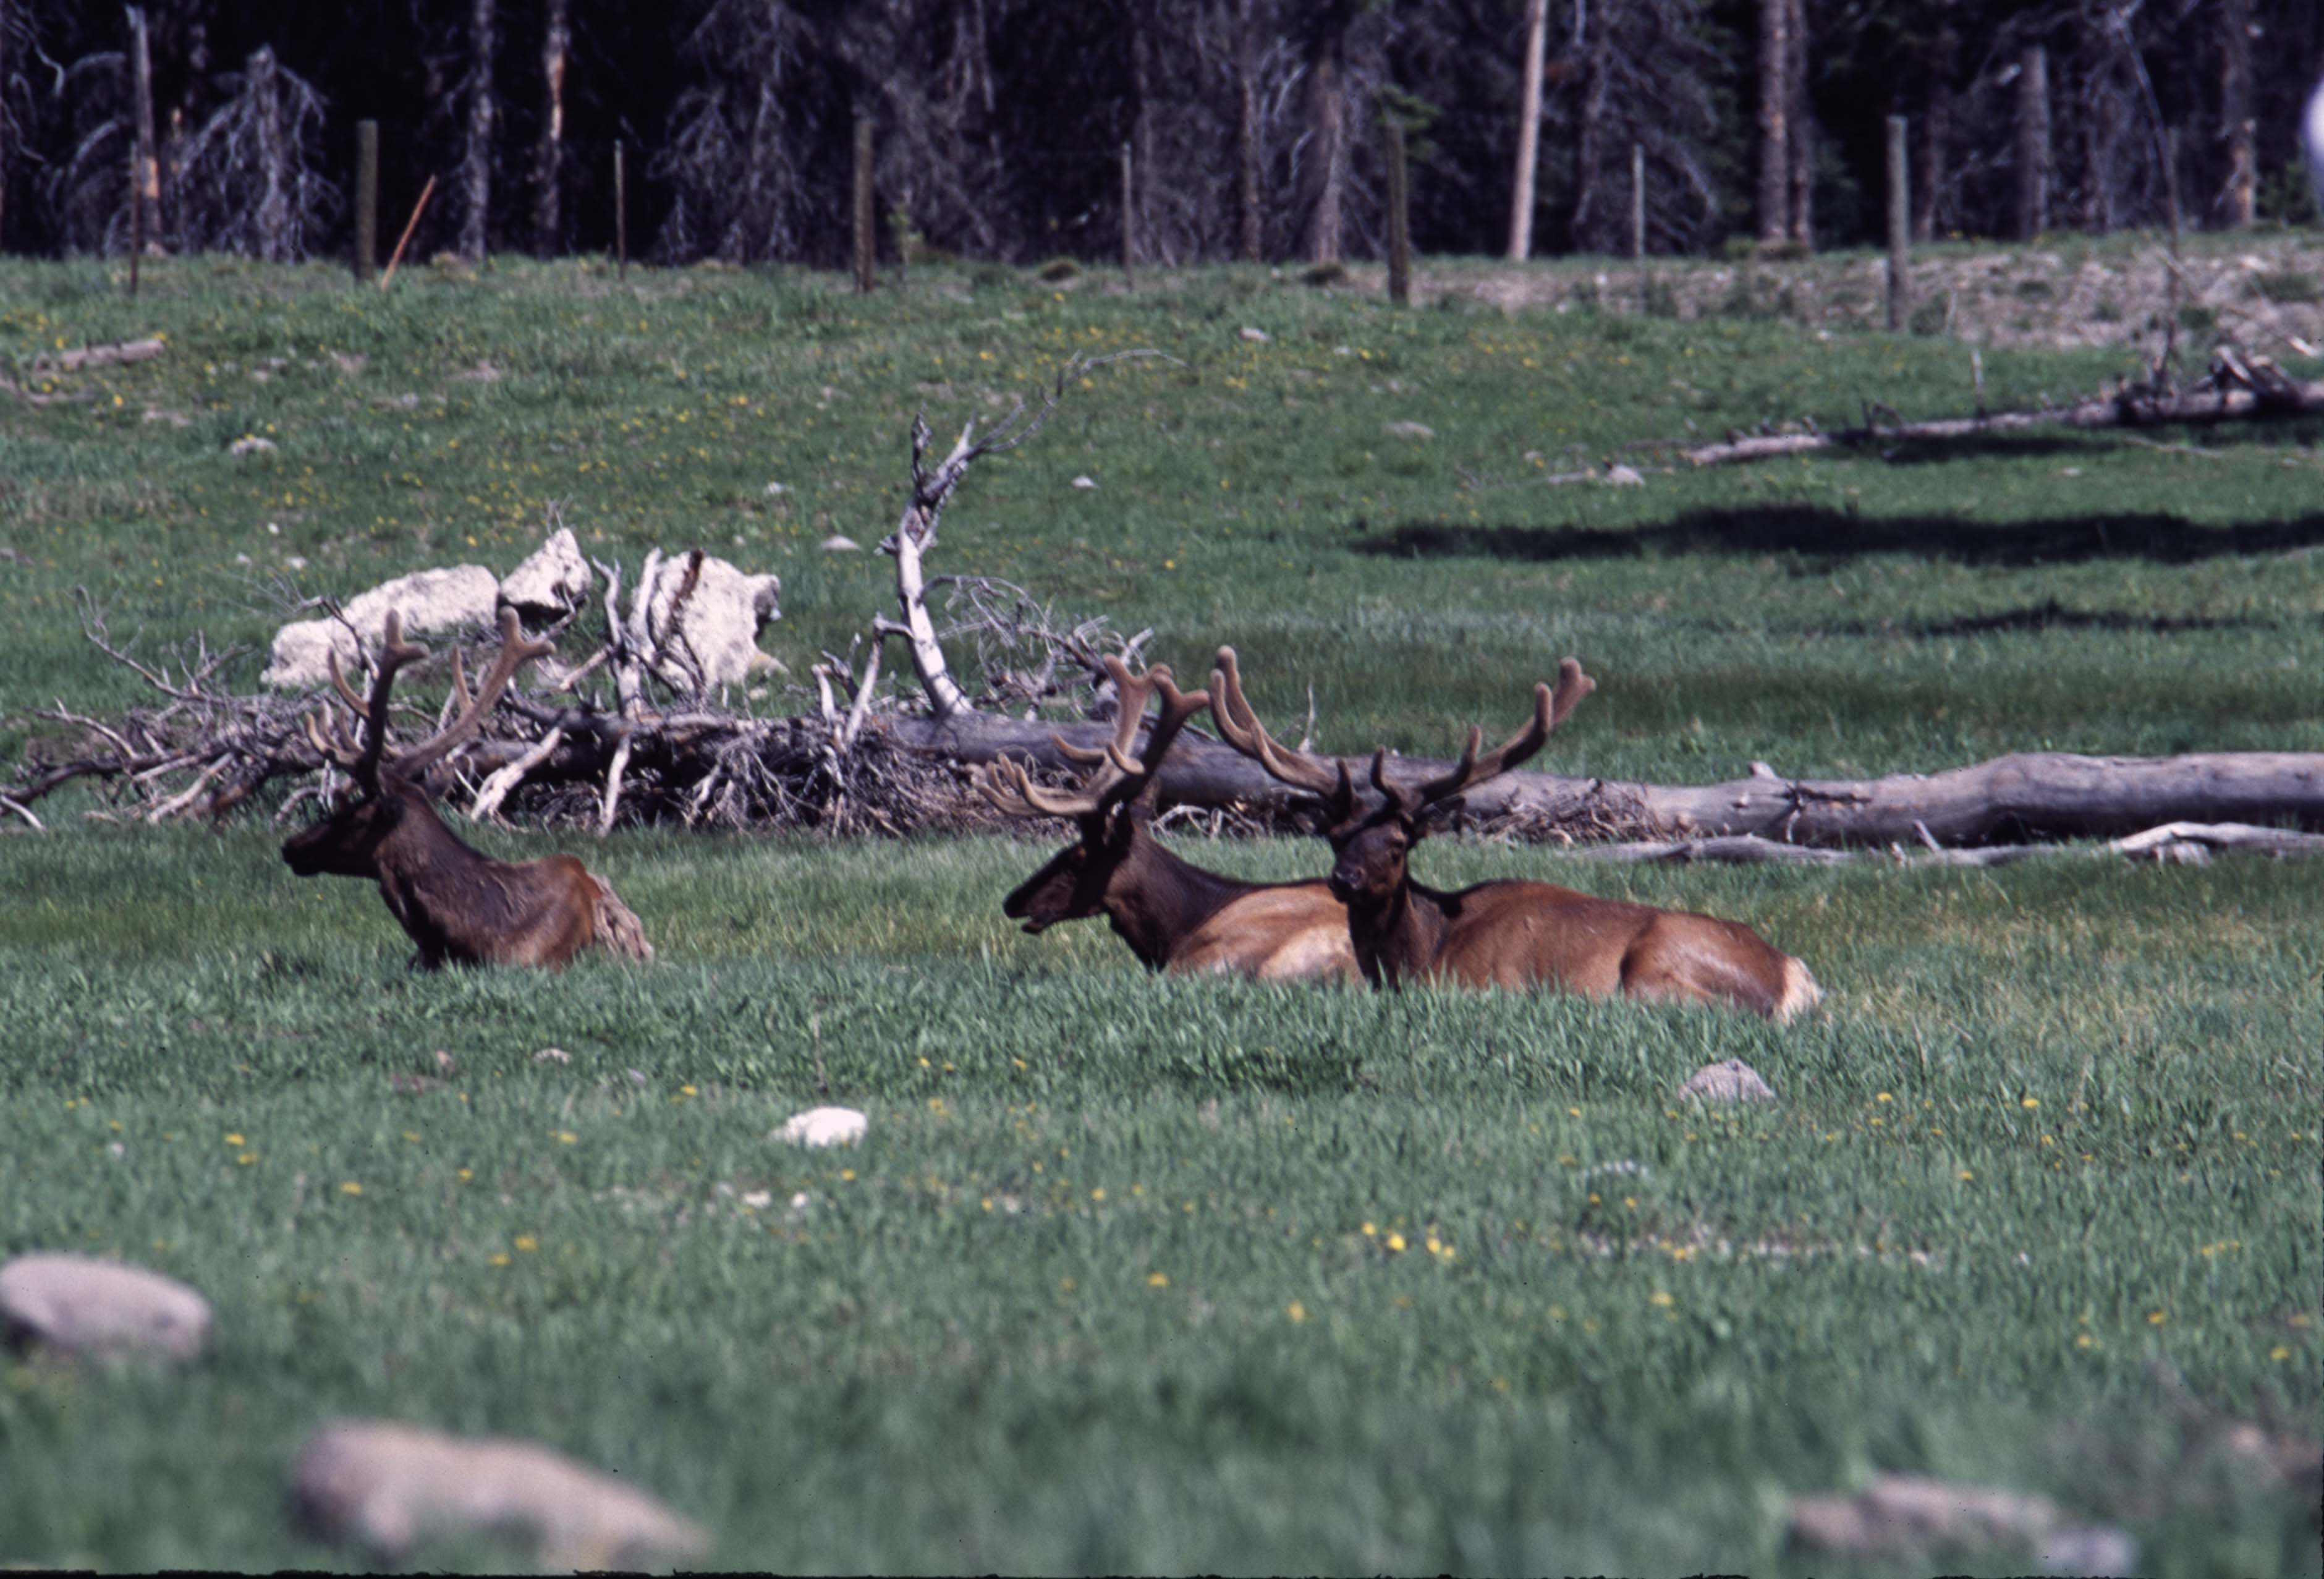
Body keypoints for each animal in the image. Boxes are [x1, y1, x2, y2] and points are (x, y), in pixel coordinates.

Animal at [1206, 648, 1820, 1020]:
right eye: (1335, 836)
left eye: (1399, 844)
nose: (1345, 878)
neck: (1422, 953)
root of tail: (1793, 979)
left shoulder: (1485, 982)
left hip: (1654, 972)